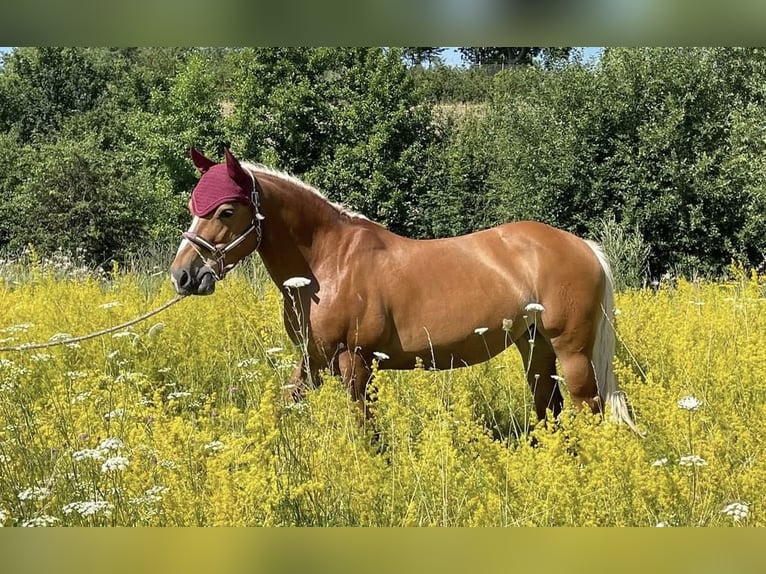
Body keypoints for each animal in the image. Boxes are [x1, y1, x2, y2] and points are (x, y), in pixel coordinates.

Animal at [171, 146, 640, 434]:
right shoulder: (313, 362)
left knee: (589, 409)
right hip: (535, 347)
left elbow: (366, 431)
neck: (327, 263)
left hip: (572, 353)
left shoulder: (354, 363)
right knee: (550, 408)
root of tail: (585, 246)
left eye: (226, 210)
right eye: (194, 206)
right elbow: (285, 408)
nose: (183, 276)